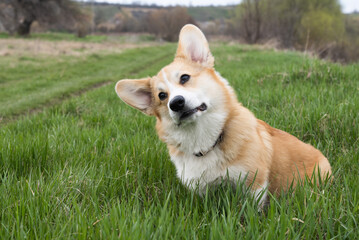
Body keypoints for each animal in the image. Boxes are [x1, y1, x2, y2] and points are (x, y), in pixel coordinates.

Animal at [115, 24, 332, 204]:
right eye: (161, 96)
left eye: (184, 78)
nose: (176, 103)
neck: (206, 142)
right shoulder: (202, 191)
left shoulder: (254, 184)